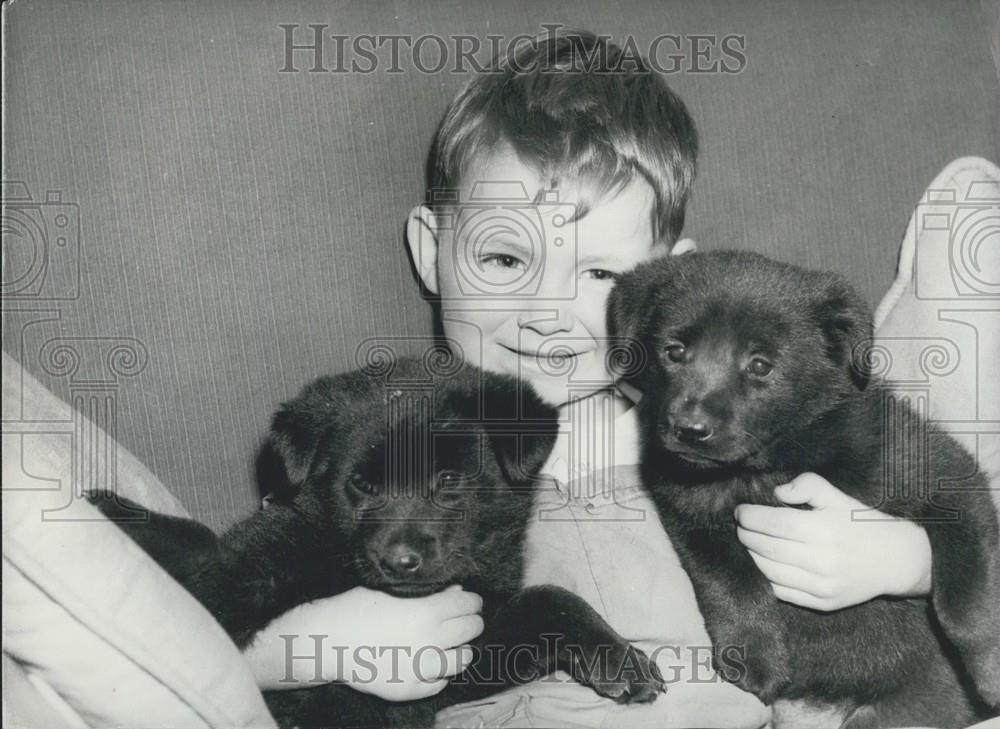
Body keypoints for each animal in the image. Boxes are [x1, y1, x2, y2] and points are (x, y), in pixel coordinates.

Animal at [88, 358, 664, 728]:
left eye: (449, 481)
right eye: (362, 485)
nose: (400, 561)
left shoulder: (466, 657)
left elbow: (549, 599)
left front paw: (620, 658)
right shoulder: (272, 547)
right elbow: (218, 579)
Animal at [608, 252, 1000, 728]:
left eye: (760, 365)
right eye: (674, 351)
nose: (689, 430)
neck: (767, 467)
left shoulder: (944, 475)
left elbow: (965, 598)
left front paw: (992, 671)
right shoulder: (693, 520)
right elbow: (732, 581)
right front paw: (755, 657)